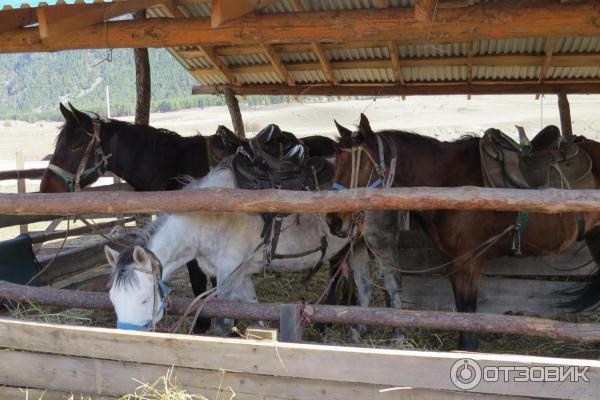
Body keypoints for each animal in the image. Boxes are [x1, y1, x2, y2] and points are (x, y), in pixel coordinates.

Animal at [106, 164, 370, 332]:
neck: (206, 219)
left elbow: (224, 321)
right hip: (354, 247)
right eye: (113, 300)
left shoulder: (227, 277)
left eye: (144, 300)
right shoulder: (239, 275)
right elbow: (252, 307)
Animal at [328, 114, 600, 352]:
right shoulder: (452, 261)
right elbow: (461, 309)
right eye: (337, 163)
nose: (333, 221)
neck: (446, 181)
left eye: (361, 165)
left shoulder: (468, 260)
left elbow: (468, 311)